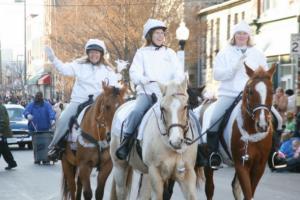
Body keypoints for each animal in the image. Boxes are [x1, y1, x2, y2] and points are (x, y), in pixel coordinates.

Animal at [199, 64, 276, 200]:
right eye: (250, 92)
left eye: (272, 91)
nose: (262, 125)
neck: (251, 132)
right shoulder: (241, 165)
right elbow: (248, 194)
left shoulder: (259, 166)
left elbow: (247, 192)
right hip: (208, 163)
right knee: (210, 189)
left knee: (235, 186)